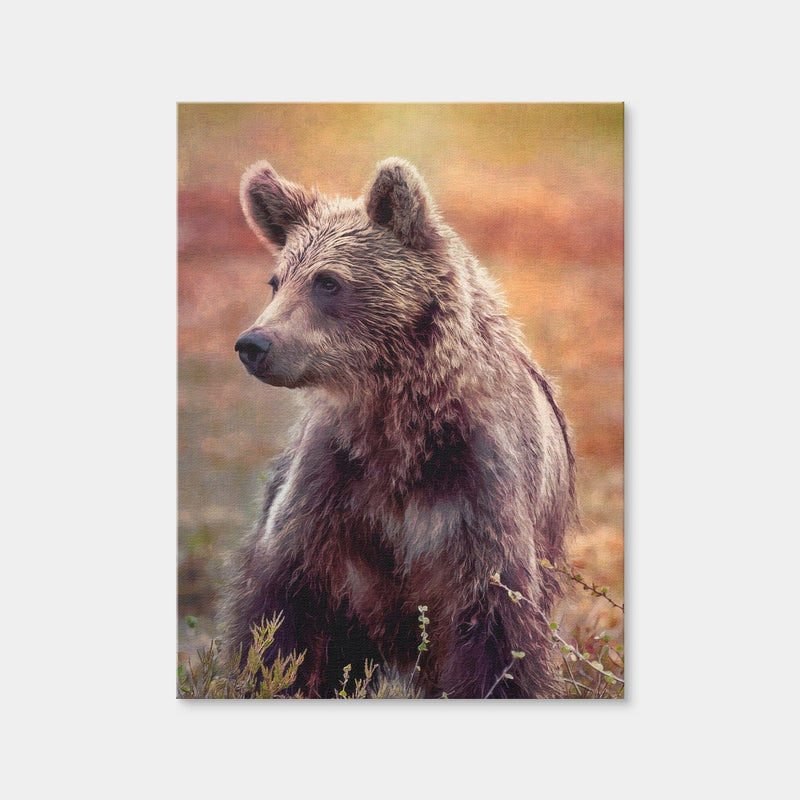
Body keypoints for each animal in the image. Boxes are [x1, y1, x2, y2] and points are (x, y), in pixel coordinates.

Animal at [222, 157, 576, 698]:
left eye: (328, 281)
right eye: (276, 281)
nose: (254, 344)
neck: (399, 425)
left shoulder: (478, 494)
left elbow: (498, 635)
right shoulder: (333, 489)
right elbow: (282, 616)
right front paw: (272, 675)